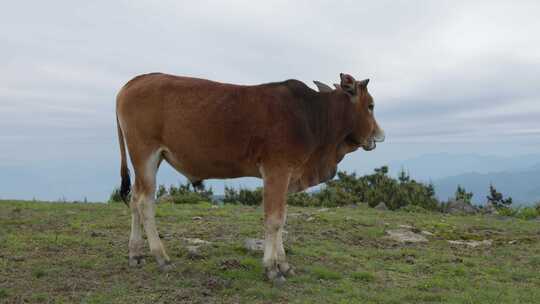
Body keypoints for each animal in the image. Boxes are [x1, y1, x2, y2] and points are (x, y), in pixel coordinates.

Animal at [115, 72, 384, 282]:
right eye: (370, 105)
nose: (379, 135)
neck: (312, 115)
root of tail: (131, 83)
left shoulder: (286, 175)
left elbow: (282, 220)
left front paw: (284, 264)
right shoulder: (277, 170)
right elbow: (274, 220)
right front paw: (272, 269)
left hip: (149, 160)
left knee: (135, 199)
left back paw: (135, 254)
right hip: (145, 155)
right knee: (144, 202)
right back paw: (161, 257)